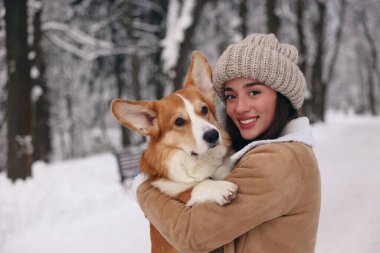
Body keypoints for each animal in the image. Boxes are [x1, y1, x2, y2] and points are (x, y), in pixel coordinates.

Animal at [110, 51, 238, 253]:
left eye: (204, 110)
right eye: (179, 121)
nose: (213, 135)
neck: (197, 161)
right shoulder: (169, 190)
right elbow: (196, 187)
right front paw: (220, 188)